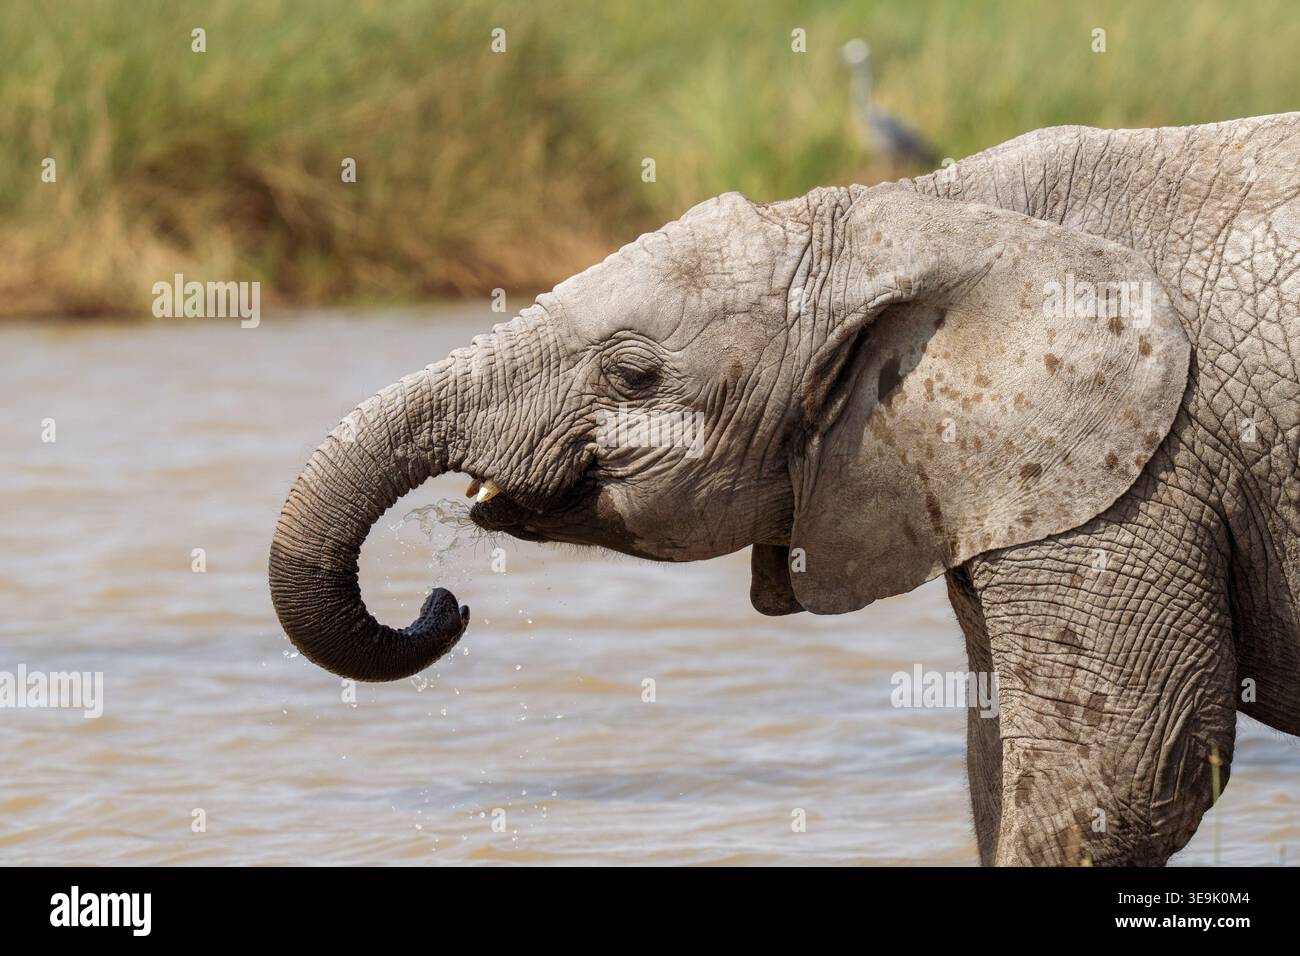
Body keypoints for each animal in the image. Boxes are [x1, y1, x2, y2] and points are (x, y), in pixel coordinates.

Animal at [270, 112, 1300, 866]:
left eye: (633, 376)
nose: (445, 600)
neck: (914, 214)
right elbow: (997, 763)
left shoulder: (1143, 465)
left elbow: (1123, 774)